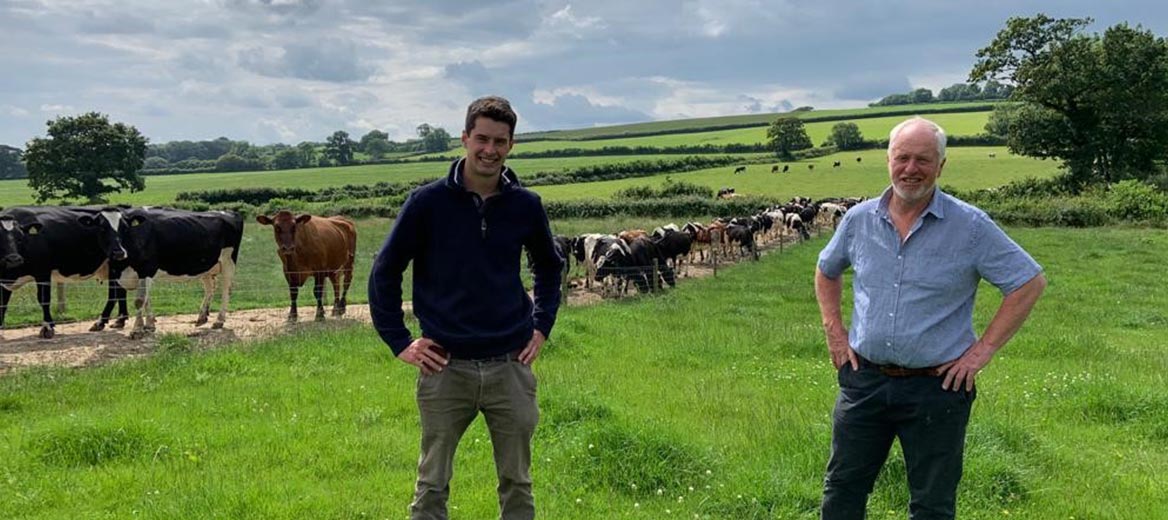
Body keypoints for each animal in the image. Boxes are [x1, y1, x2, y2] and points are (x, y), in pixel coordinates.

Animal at [0, 204, 129, 338]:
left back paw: (101, 322)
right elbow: (3, 303)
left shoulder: (43, 273)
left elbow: (44, 299)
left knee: (115, 293)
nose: (13, 259)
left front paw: (47, 327)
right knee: (120, 291)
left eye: (20, 238)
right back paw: (119, 320)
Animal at [116, 206, 244, 336]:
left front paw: (137, 329)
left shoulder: (146, 269)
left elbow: (140, 300)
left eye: (123, 228)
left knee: (226, 289)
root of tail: (229, 212)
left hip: (228, 261)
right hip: (206, 266)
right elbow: (146, 298)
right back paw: (202, 317)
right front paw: (149, 325)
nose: (118, 251)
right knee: (210, 287)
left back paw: (219, 320)